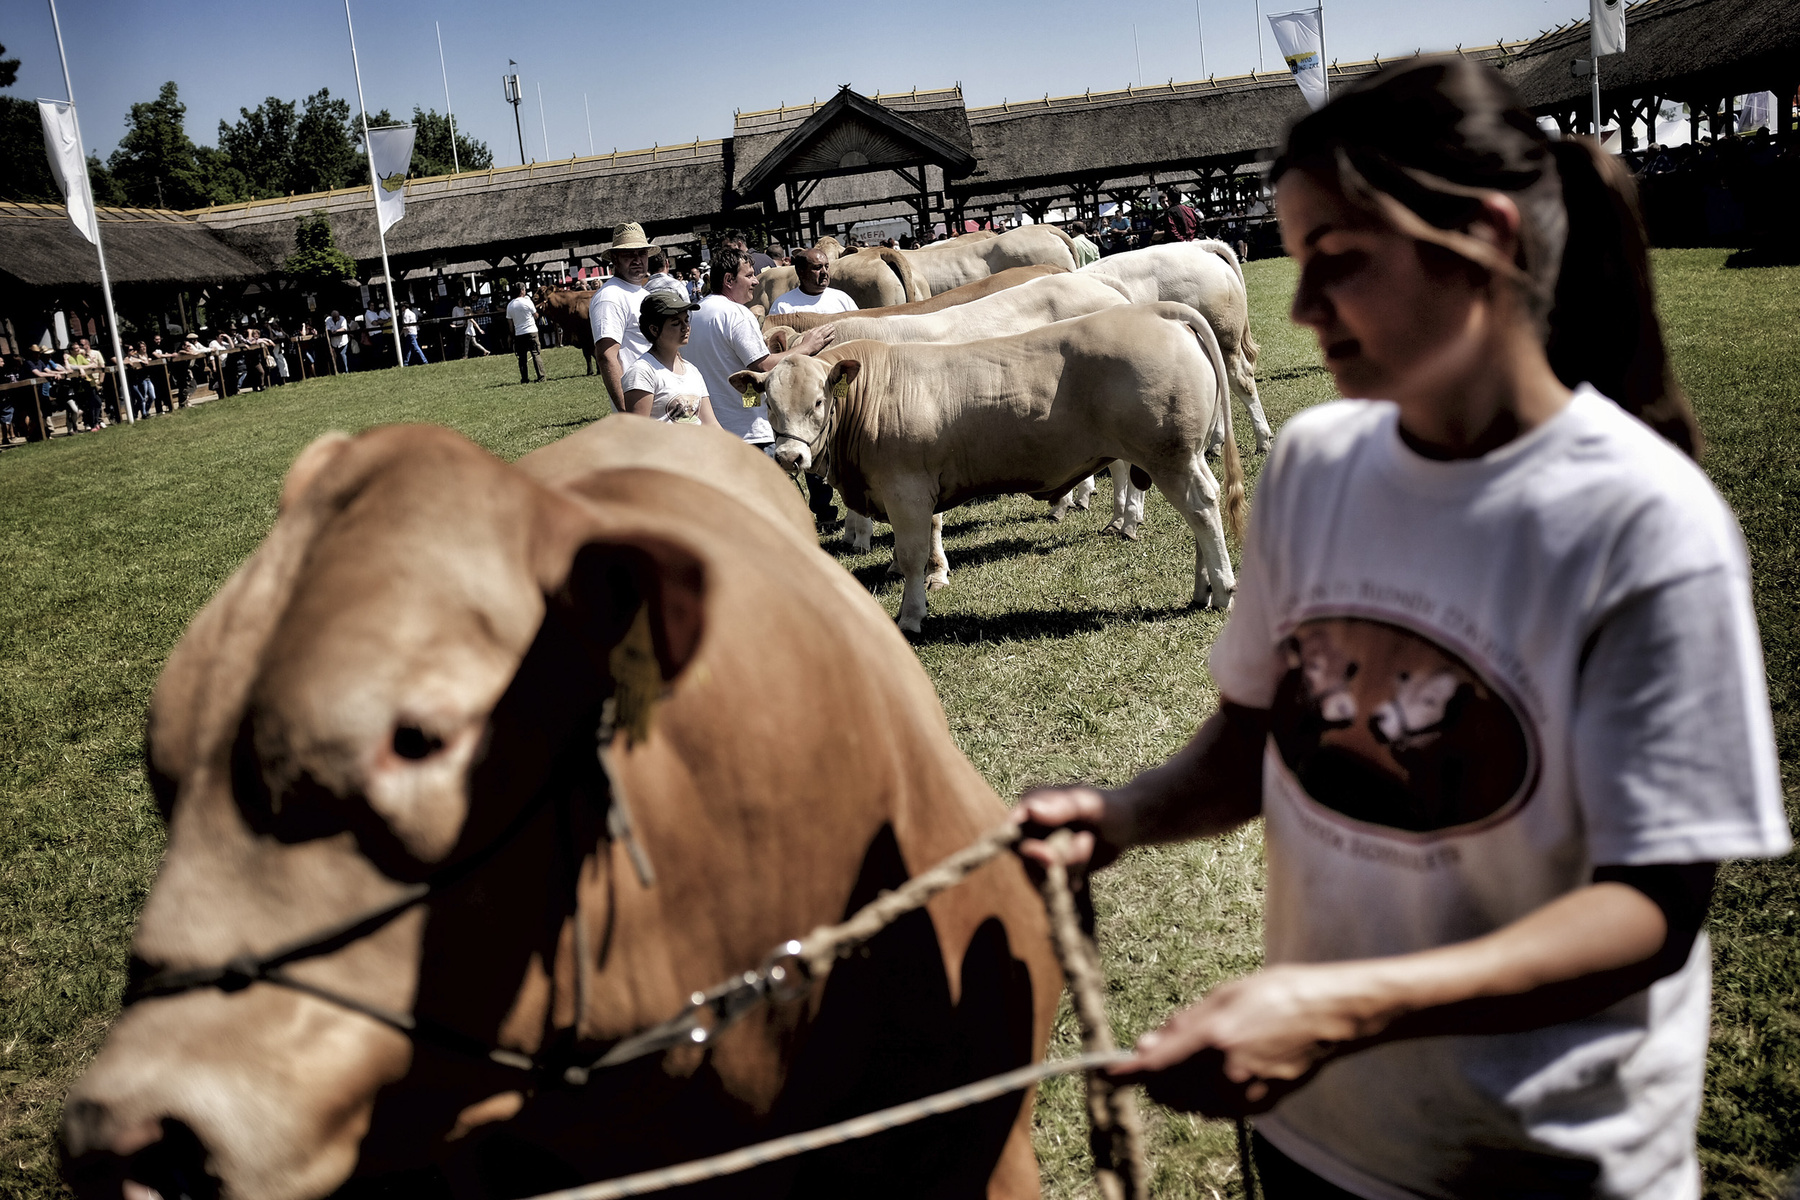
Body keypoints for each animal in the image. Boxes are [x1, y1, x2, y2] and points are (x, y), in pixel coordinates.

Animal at [738, 305, 1245, 633]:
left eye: (819, 402)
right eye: (769, 403)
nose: (789, 458)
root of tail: (1158, 314)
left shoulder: (906, 492)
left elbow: (911, 556)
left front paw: (911, 616)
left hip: (1170, 455)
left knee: (1202, 507)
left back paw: (1221, 589)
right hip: (1178, 456)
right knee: (1198, 514)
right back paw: (1201, 588)